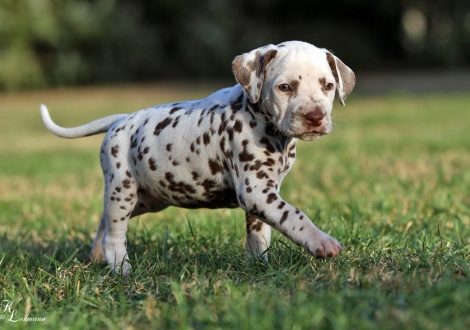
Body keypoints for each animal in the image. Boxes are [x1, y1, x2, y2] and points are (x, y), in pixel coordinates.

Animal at [41, 40, 356, 274]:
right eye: (285, 87)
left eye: (328, 86)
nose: (315, 117)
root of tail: (121, 120)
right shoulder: (255, 191)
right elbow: (293, 214)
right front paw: (320, 241)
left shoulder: (266, 194)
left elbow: (259, 233)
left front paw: (258, 267)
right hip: (123, 189)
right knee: (115, 233)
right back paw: (121, 268)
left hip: (147, 199)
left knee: (104, 222)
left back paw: (96, 255)